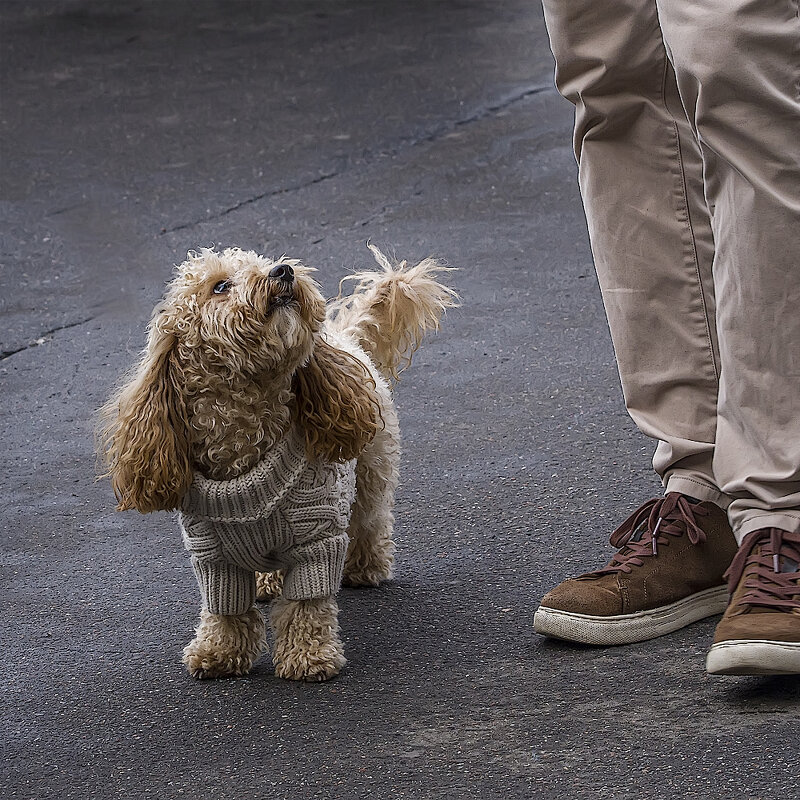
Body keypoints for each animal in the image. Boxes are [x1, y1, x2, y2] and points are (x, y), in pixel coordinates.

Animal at [98, 242, 456, 680]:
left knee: (370, 521)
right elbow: (225, 607)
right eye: (220, 286)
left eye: (263, 263)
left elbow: (305, 604)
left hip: (372, 470)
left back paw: (364, 567)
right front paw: (218, 653)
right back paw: (267, 582)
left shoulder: (316, 537)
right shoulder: (211, 554)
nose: (284, 271)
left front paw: (308, 657)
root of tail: (344, 337)